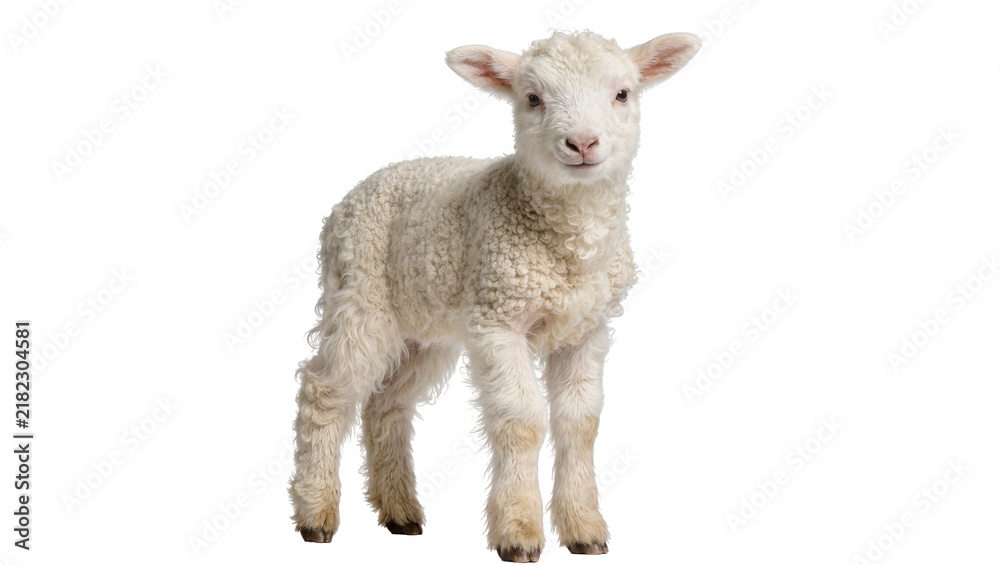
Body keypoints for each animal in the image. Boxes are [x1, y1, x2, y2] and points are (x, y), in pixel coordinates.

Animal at [289, 30, 701, 562]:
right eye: (533, 98)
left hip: (425, 328)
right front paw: (519, 531)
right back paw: (316, 513)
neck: (569, 244)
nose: (583, 143)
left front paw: (584, 529)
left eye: (622, 94)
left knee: (387, 404)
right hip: (359, 296)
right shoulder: (499, 318)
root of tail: (351, 197)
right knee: (325, 392)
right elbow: (522, 420)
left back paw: (400, 512)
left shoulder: (588, 328)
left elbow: (580, 422)